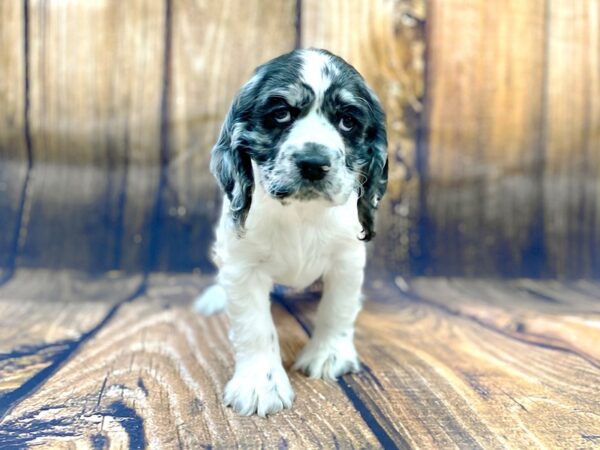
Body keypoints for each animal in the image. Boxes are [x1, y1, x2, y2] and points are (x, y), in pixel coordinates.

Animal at [195, 47, 386, 416]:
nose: (313, 163)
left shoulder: (346, 259)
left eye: (347, 121)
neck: (301, 213)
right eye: (281, 114)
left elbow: (337, 309)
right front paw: (260, 384)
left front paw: (329, 355)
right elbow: (255, 327)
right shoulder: (242, 266)